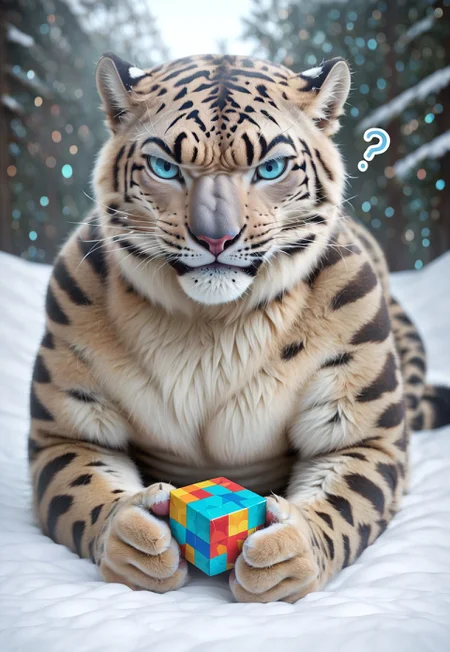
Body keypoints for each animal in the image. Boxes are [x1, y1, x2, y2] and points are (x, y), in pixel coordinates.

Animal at [28, 53, 450, 603]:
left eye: (269, 167)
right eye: (165, 166)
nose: (216, 239)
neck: (210, 329)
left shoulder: (358, 429)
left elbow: (347, 498)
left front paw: (288, 552)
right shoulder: (67, 428)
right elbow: (80, 485)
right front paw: (134, 538)